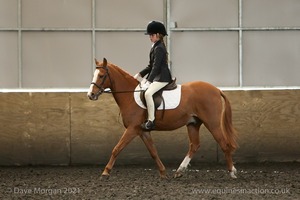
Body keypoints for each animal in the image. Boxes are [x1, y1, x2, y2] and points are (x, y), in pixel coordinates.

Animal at [86, 58, 237, 179]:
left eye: (101, 75)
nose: (90, 95)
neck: (129, 95)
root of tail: (216, 89)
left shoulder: (132, 129)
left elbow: (117, 148)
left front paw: (105, 172)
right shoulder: (143, 131)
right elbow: (153, 152)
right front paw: (163, 173)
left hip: (212, 123)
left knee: (224, 144)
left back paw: (232, 172)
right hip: (193, 123)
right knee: (194, 145)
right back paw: (179, 171)